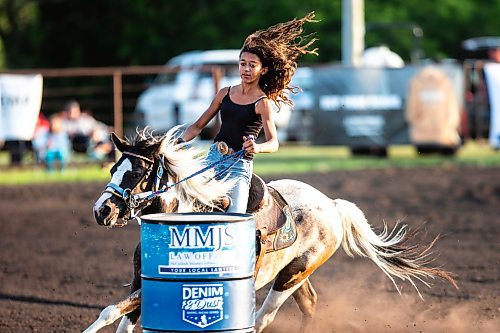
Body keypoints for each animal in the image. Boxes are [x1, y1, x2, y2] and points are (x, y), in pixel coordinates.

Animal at [85, 127, 458, 332]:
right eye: (113, 168)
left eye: (135, 173)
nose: (101, 210)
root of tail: (332, 205)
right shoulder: (142, 280)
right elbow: (121, 317)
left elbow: (110, 310)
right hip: (296, 273)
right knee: (309, 305)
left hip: (292, 275)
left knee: (265, 317)